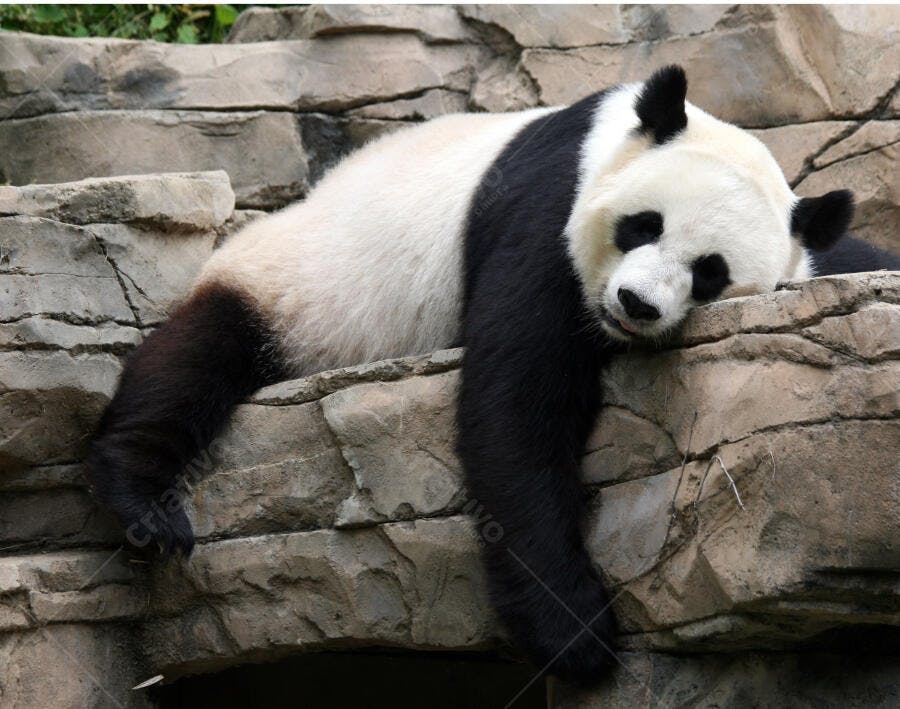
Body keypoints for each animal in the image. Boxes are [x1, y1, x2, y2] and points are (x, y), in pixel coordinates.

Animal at [86, 65, 899, 683]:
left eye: (710, 273)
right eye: (643, 225)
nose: (634, 304)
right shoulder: (546, 212)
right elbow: (516, 406)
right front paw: (575, 634)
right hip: (295, 286)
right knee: (194, 360)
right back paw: (146, 502)